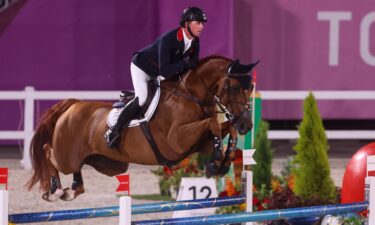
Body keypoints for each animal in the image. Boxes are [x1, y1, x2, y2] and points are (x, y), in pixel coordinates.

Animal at [27, 55, 258, 201]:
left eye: (250, 88)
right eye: (233, 87)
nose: (247, 124)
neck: (190, 96)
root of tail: (73, 105)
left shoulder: (201, 143)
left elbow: (224, 129)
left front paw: (221, 162)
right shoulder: (176, 141)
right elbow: (212, 124)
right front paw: (217, 159)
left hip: (111, 165)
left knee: (79, 166)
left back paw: (74, 188)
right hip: (66, 156)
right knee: (48, 152)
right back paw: (56, 189)